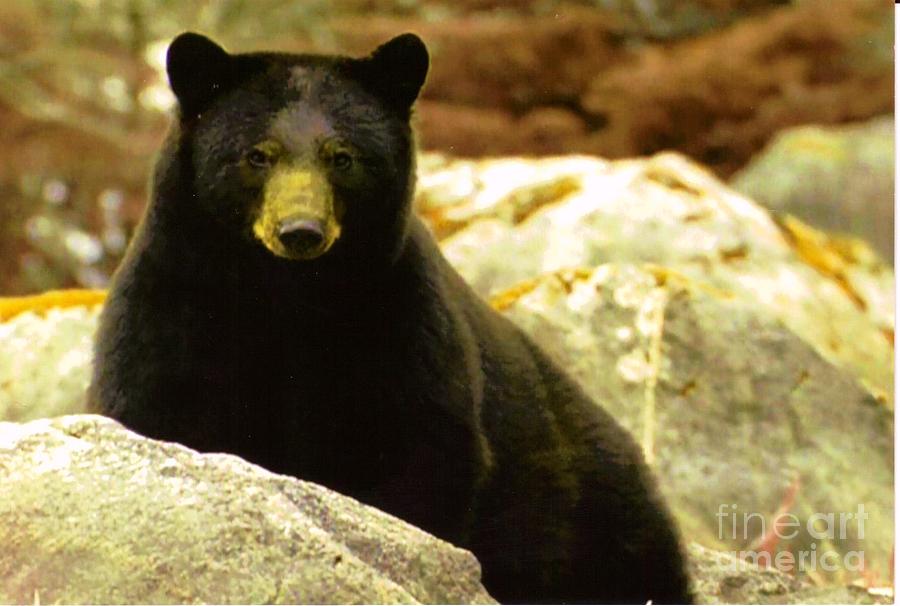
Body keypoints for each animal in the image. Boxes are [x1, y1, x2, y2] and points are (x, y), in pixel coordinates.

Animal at [89, 33, 688, 606]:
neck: (285, 295)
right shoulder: (171, 302)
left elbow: (422, 451)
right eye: (258, 155)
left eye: (343, 157)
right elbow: (150, 407)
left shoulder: (401, 316)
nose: (300, 231)